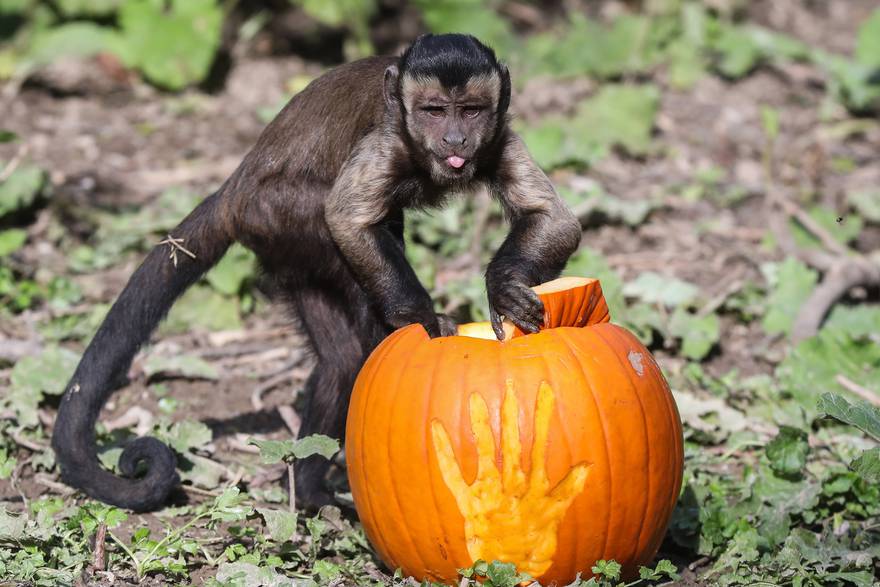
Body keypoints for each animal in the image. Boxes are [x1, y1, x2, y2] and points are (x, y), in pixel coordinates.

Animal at [51, 33, 580, 510]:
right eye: (433, 111)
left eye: (470, 111)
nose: (454, 139)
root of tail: (233, 191)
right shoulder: (387, 136)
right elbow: (347, 219)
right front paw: (424, 323)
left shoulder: (498, 134)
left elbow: (556, 222)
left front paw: (505, 288)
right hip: (276, 215)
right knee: (340, 241)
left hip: (287, 256)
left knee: (341, 356)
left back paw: (307, 491)